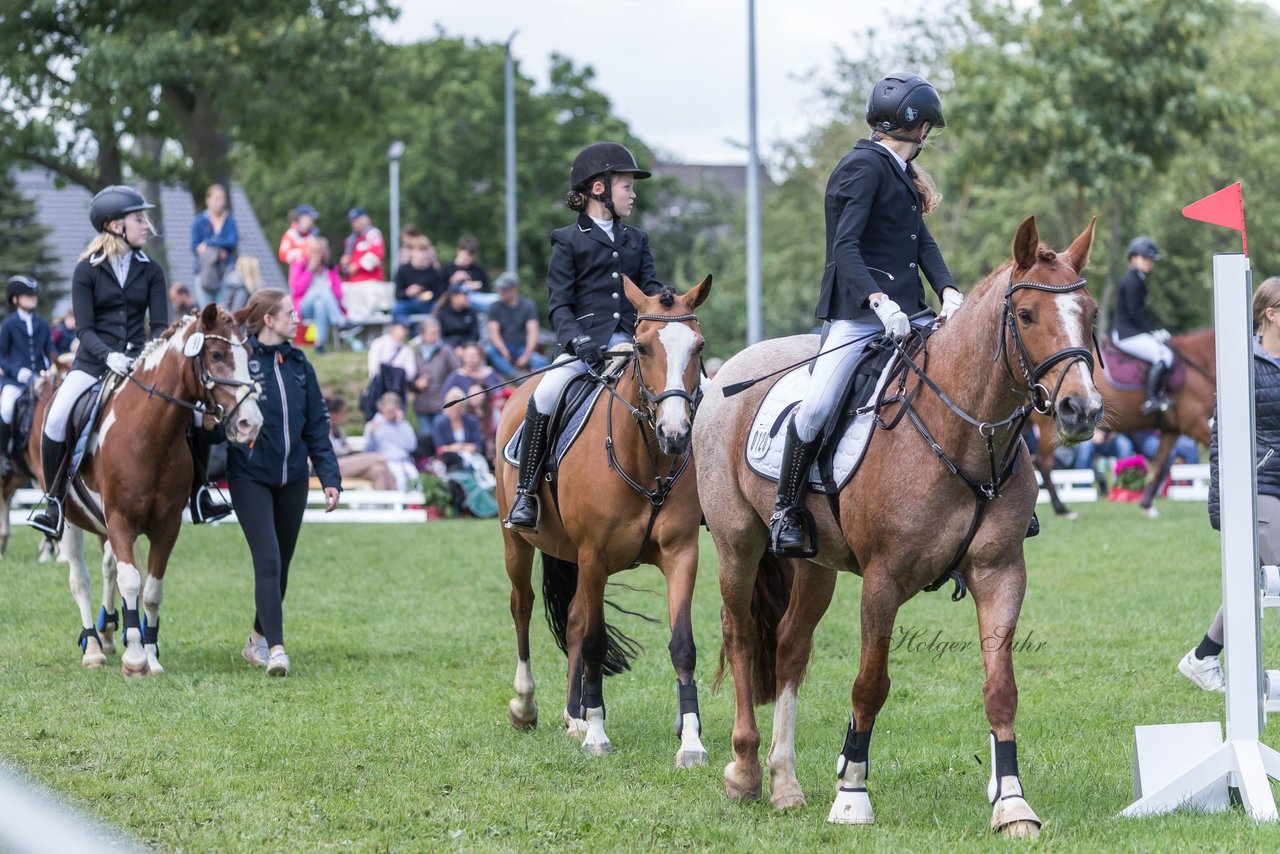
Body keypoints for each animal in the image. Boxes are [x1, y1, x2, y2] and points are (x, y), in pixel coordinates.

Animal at [31, 303, 261, 676]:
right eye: (215, 354)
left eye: (250, 355)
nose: (249, 424)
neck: (149, 433)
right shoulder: (120, 520)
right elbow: (130, 581)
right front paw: (136, 659)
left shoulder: (167, 526)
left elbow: (151, 590)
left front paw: (150, 655)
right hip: (69, 522)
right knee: (80, 579)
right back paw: (93, 648)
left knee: (108, 569)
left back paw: (110, 634)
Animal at [494, 275, 711, 768]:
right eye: (643, 347)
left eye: (699, 346)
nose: (675, 435)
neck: (648, 460)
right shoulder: (593, 556)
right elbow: (593, 641)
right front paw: (597, 734)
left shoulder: (681, 554)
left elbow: (683, 645)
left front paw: (691, 740)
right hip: (518, 543)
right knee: (523, 606)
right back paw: (526, 706)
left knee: (573, 618)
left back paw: (573, 715)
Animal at [696, 217, 1105, 839]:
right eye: (1027, 314)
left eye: (1091, 312)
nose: (1082, 410)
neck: (963, 434)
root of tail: (729, 372)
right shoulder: (883, 580)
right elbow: (871, 684)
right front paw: (851, 796)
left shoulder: (1000, 571)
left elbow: (1001, 689)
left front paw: (1012, 804)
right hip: (737, 545)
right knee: (741, 636)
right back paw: (744, 771)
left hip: (814, 564)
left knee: (790, 645)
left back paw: (785, 782)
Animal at [1034, 325, 1213, 514]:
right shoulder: (1194, 423)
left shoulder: (1172, 429)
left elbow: (1159, 464)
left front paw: (1146, 505)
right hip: (1048, 426)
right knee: (1043, 462)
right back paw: (1062, 509)